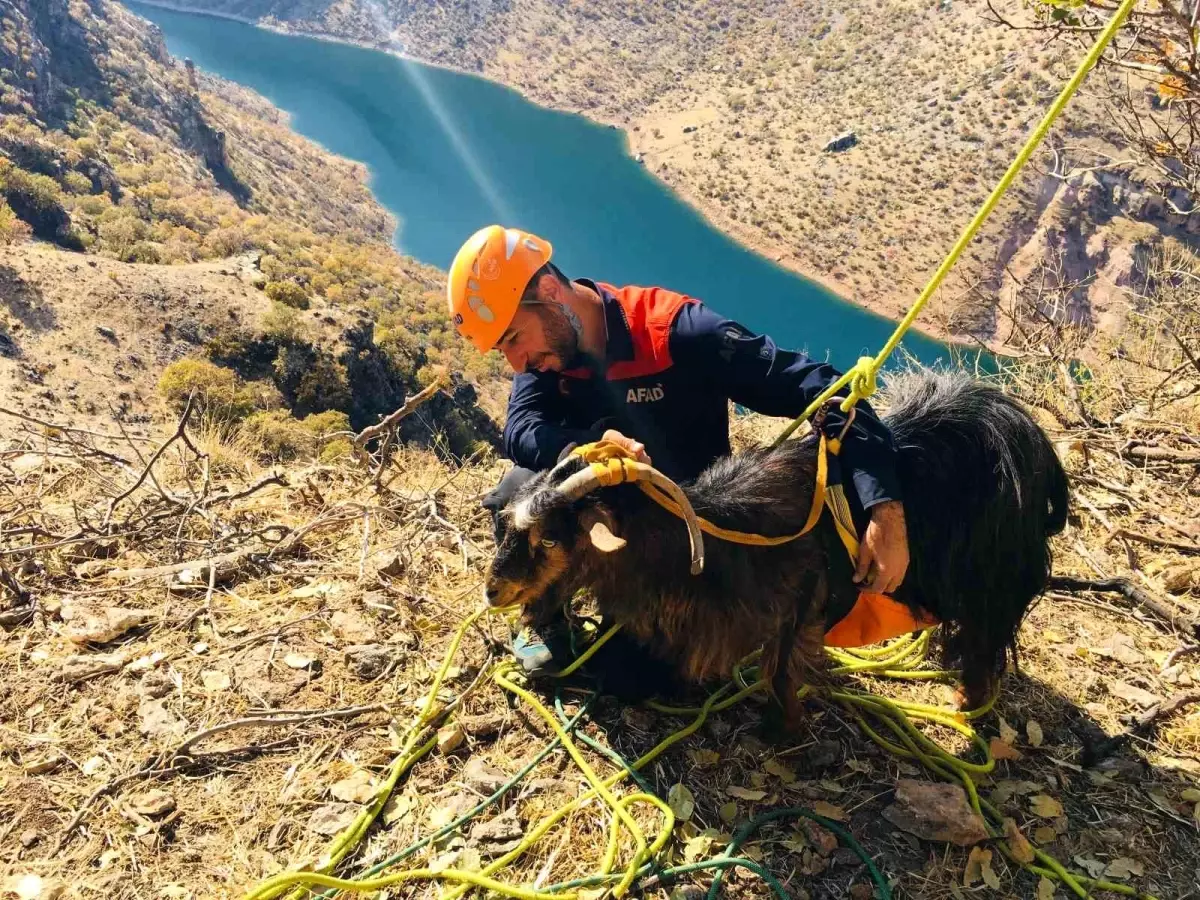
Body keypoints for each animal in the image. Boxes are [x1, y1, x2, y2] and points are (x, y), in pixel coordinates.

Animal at [487, 369, 1070, 729]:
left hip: (994, 583)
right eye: (511, 524)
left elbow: (782, 671)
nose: (494, 592)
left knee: (985, 640)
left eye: (549, 537)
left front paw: (781, 730)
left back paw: (968, 697)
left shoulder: (800, 605)